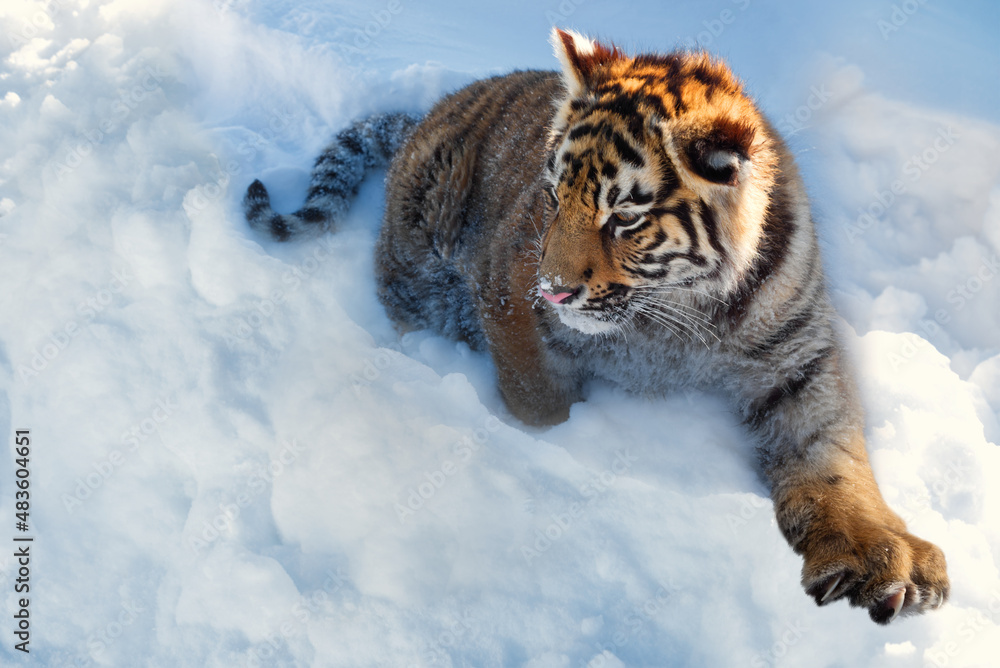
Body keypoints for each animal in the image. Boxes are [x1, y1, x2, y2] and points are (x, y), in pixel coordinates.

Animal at [243, 28, 949, 624]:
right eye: (555, 196)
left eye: (625, 218)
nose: (553, 289)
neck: (682, 316)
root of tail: (425, 113)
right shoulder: (510, 299)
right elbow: (539, 403)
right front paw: (557, 450)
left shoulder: (795, 355)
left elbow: (833, 459)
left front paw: (888, 560)